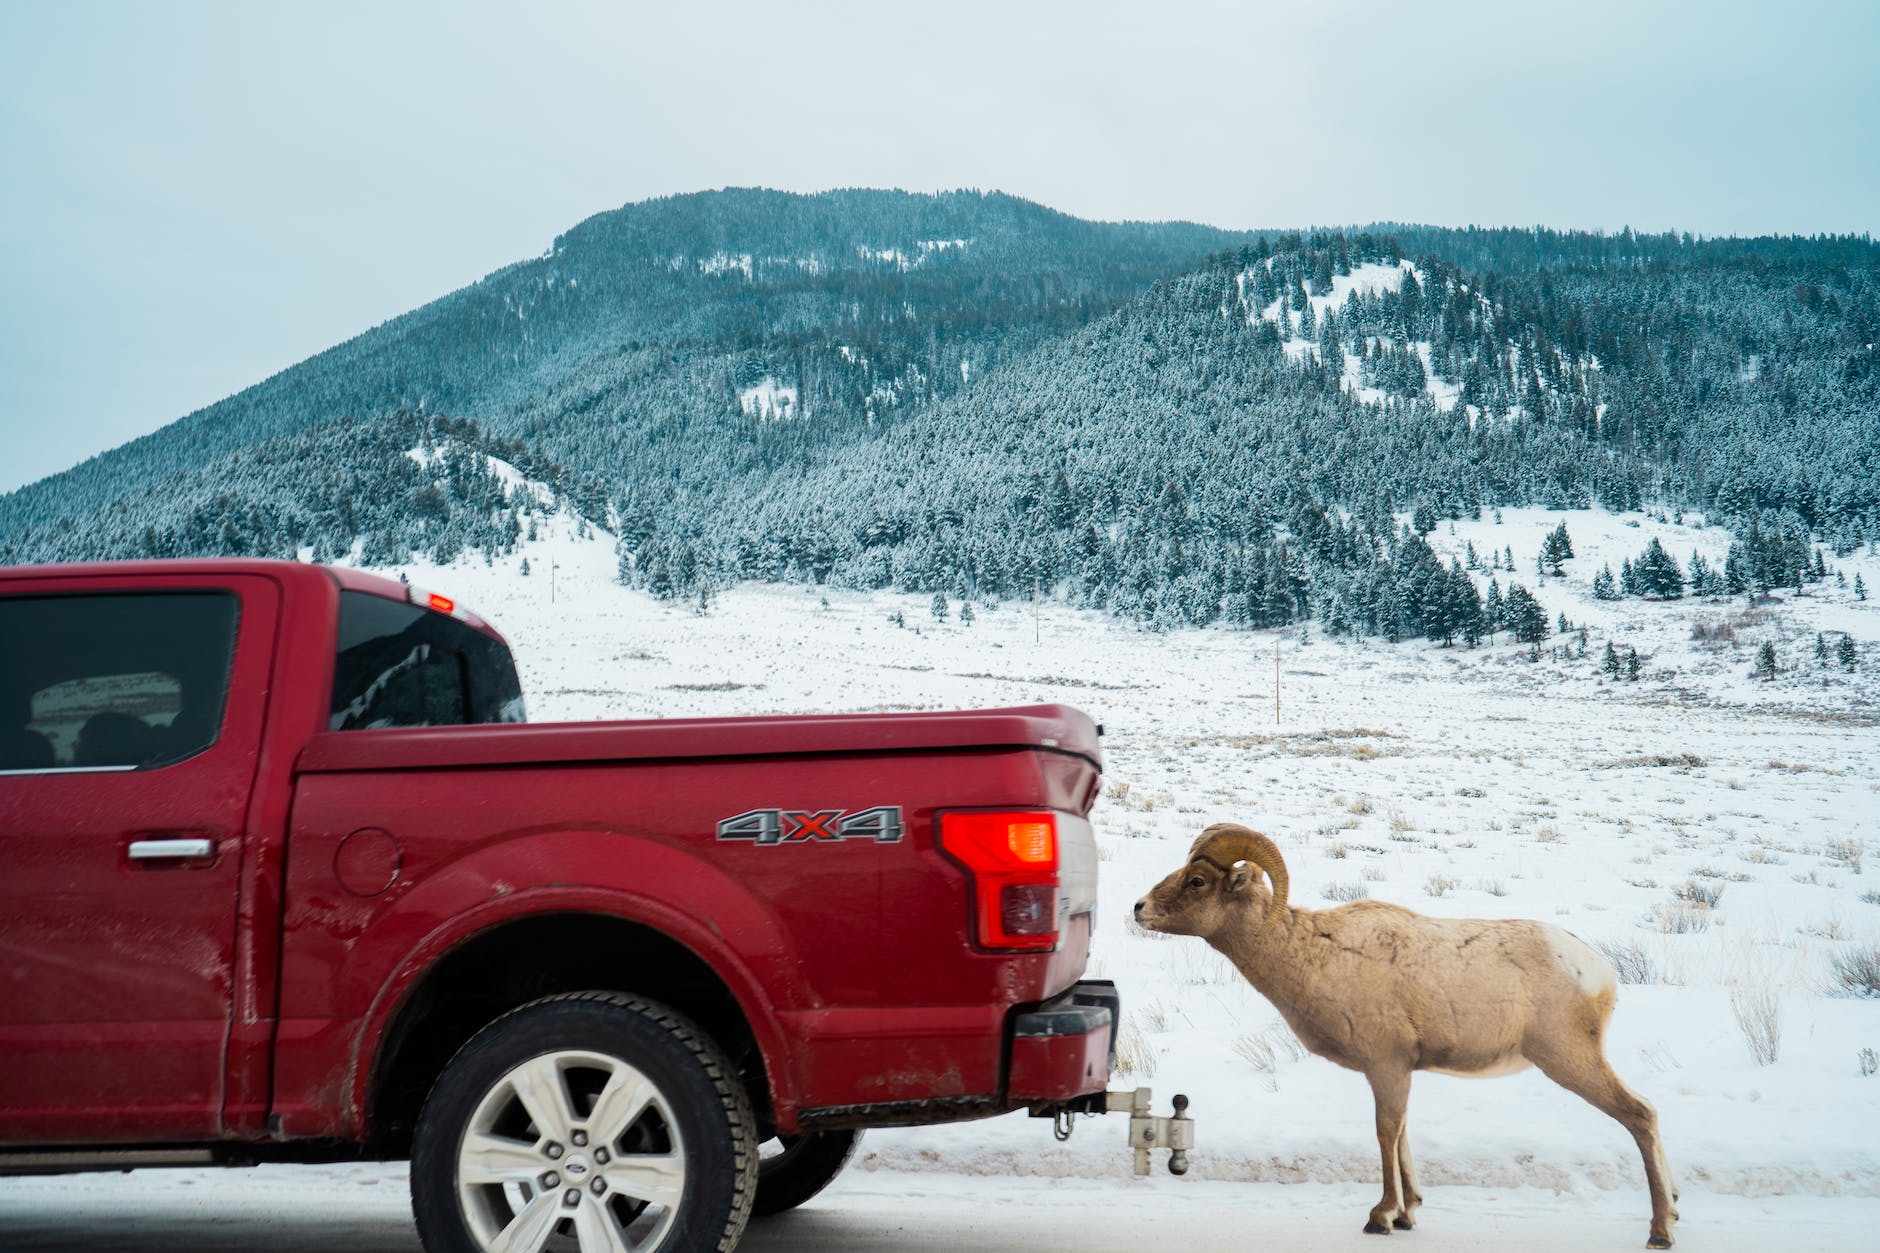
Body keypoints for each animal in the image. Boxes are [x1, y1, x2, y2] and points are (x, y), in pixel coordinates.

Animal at [1128, 824, 1676, 1241]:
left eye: (1197, 881)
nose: (1139, 908)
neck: (1312, 955)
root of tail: (1596, 969)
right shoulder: (1400, 1072)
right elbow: (1404, 1135)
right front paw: (1409, 1214)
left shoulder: (1386, 1066)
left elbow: (1385, 1133)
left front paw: (1380, 1217)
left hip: (1570, 1060)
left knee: (1640, 1115)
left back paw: (1660, 1231)